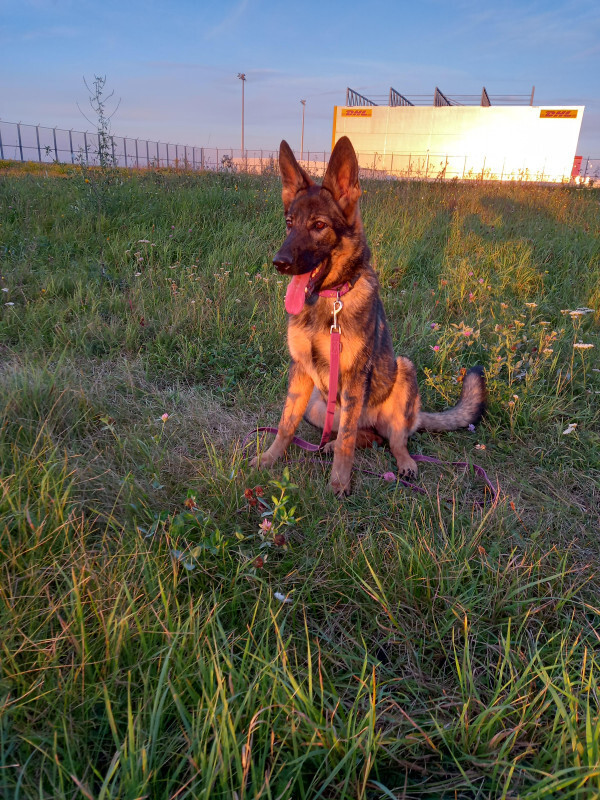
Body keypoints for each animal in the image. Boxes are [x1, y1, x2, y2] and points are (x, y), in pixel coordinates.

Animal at [251, 138, 486, 494]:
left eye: (319, 225)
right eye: (289, 224)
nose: (279, 263)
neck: (330, 301)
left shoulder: (352, 379)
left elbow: (348, 441)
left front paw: (339, 482)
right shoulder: (300, 373)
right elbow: (285, 425)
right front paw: (268, 459)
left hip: (402, 372)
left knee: (394, 440)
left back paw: (404, 463)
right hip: (318, 406)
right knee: (369, 436)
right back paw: (329, 444)